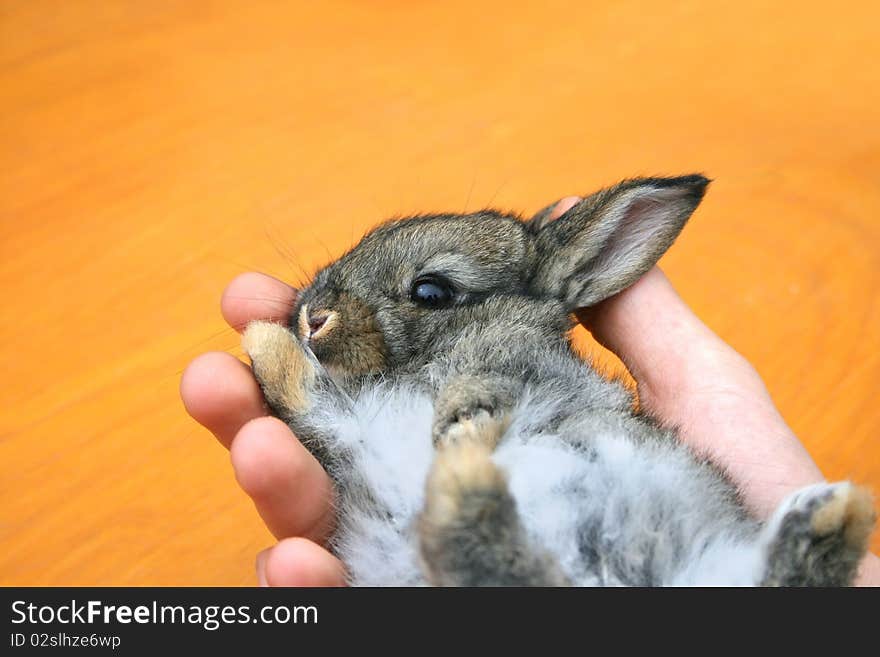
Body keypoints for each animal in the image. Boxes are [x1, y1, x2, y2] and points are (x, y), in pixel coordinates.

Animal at [239, 174, 872, 584]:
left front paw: (464, 412)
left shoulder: (511, 369)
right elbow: (301, 393)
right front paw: (262, 337)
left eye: (432, 291)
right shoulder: (345, 425)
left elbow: (490, 383)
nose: (313, 315)